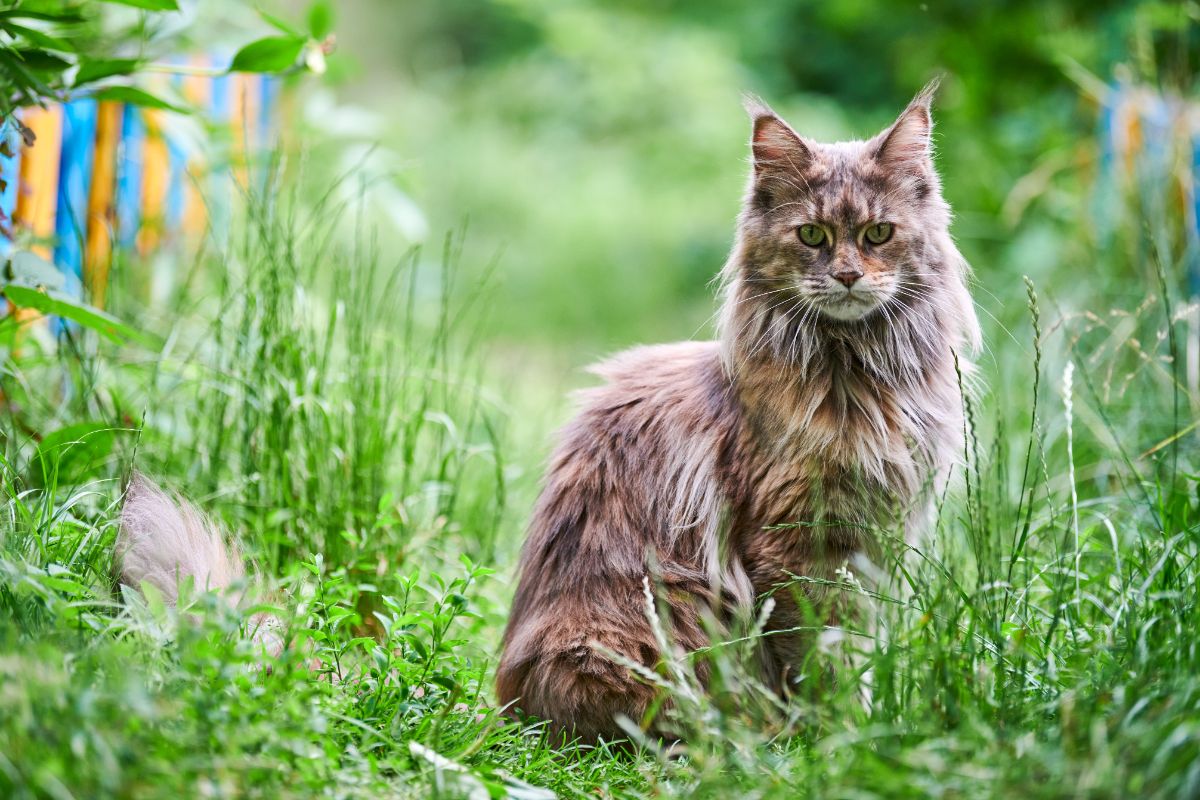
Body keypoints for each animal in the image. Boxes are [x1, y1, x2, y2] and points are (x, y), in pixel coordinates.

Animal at [492, 79, 979, 738]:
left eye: (879, 234)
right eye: (812, 236)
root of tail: (516, 710)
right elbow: (824, 655)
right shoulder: (795, 544)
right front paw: (838, 734)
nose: (848, 276)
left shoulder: (876, 540)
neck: (856, 376)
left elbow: (858, 649)